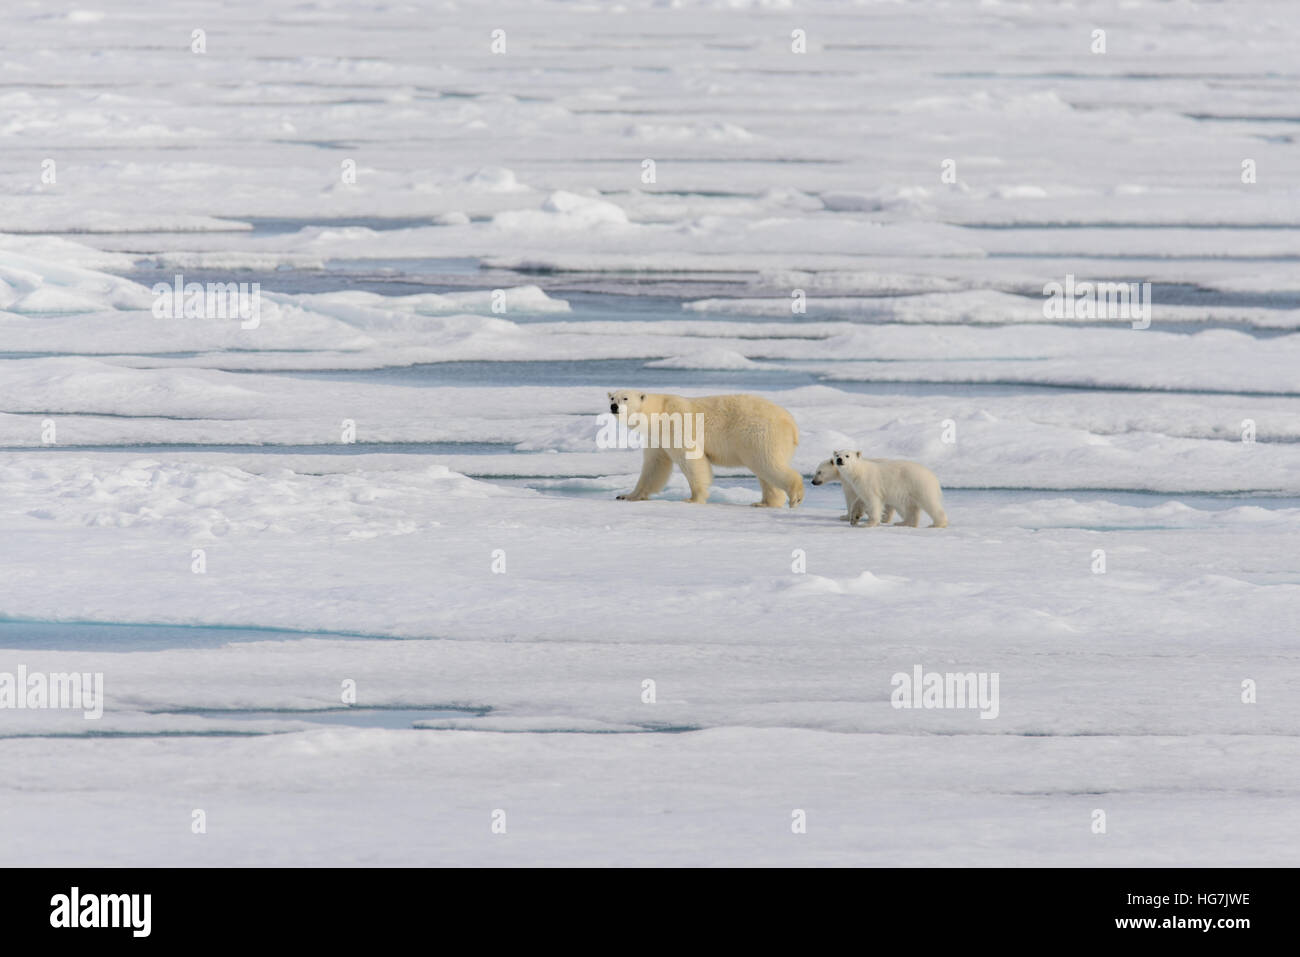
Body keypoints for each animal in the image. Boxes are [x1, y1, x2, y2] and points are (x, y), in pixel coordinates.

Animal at [607, 390, 804, 507]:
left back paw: (795, 495)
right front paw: (627, 495)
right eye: (612, 397)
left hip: (759, 434)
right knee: (765, 471)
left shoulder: (676, 425)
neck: (659, 411)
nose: (614, 406)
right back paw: (765, 502)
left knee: (767, 463)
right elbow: (655, 466)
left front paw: (693, 498)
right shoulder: (656, 438)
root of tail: (791, 423)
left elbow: (691, 459)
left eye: (625, 398)